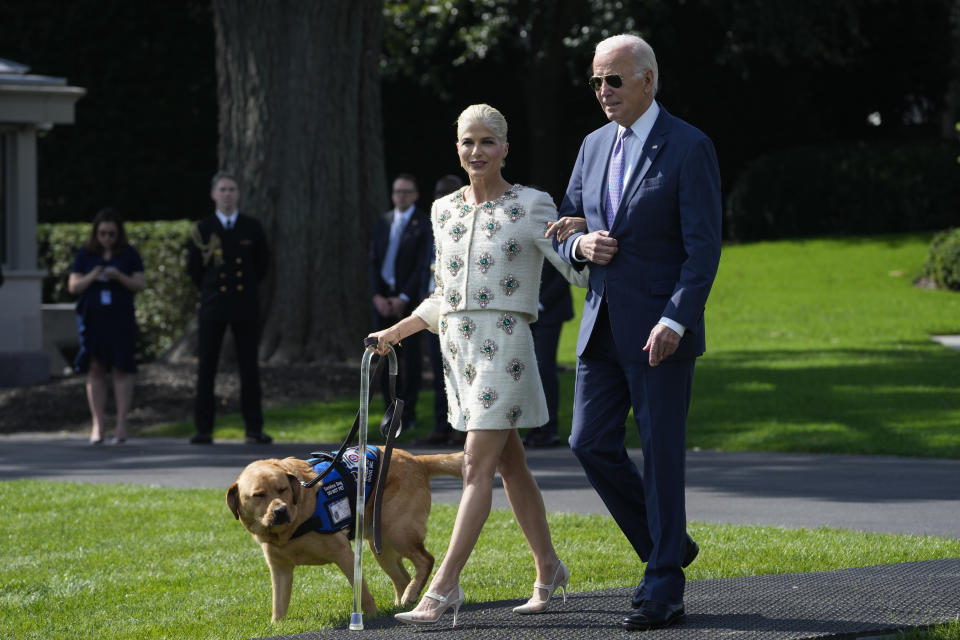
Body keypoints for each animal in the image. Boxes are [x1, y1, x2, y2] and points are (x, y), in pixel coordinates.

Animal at [227, 448, 464, 624]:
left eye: (282, 489)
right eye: (259, 495)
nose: (280, 511)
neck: (291, 531)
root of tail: (416, 459)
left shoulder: (344, 554)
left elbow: (362, 592)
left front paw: (370, 616)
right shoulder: (279, 569)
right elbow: (279, 604)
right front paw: (278, 626)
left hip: (398, 531)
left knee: (426, 560)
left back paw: (411, 595)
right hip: (381, 546)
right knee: (403, 577)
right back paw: (404, 601)